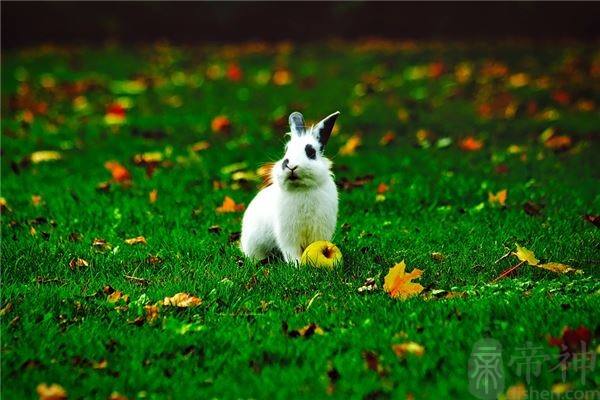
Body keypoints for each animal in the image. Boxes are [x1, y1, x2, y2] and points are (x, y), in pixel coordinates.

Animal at [241, 111, 340, 264]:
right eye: (286, 150)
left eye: (311, 152)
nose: (290, 165)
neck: (302, 188)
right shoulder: (288, 234)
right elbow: (290, 250)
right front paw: (297, 264)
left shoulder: (319, 230)